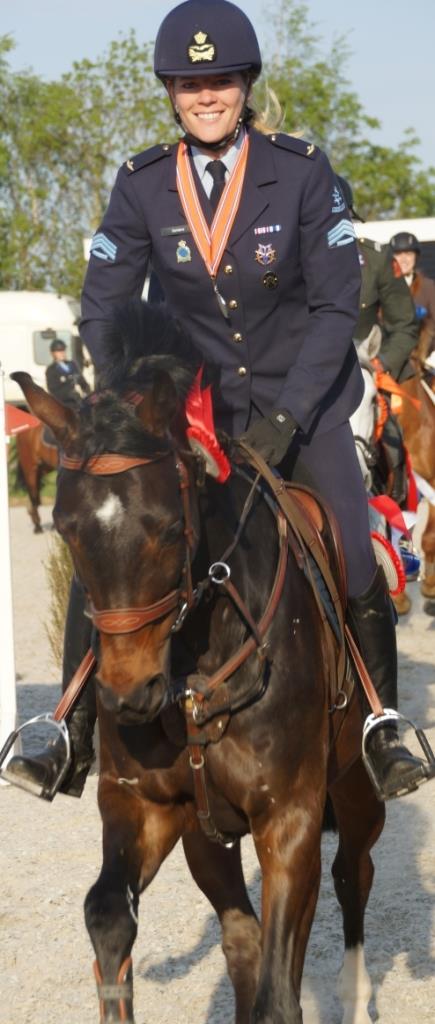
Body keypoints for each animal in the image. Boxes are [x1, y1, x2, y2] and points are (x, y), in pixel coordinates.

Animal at [11, 303, 385, 1024]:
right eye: (70, 530)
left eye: (165, 527)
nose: (129, 696)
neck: (192, 666)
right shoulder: (146, 807)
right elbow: (108, 916)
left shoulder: (290, 819)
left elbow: (279, 991)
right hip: (208, 836)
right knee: (241, 939)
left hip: (355, 789)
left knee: (353, 876)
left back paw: (353, 990)